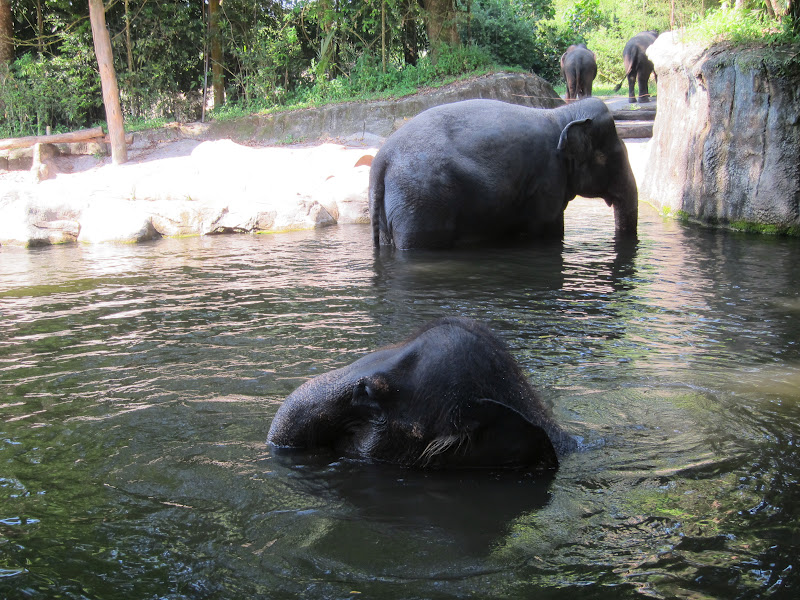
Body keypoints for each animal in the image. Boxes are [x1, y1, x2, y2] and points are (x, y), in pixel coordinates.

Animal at [368, 98, 636, 248]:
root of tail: (382, 160)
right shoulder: (548, 179)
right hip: (421, 203)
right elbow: (549, 228)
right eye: (613, 157)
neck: (562, 113)